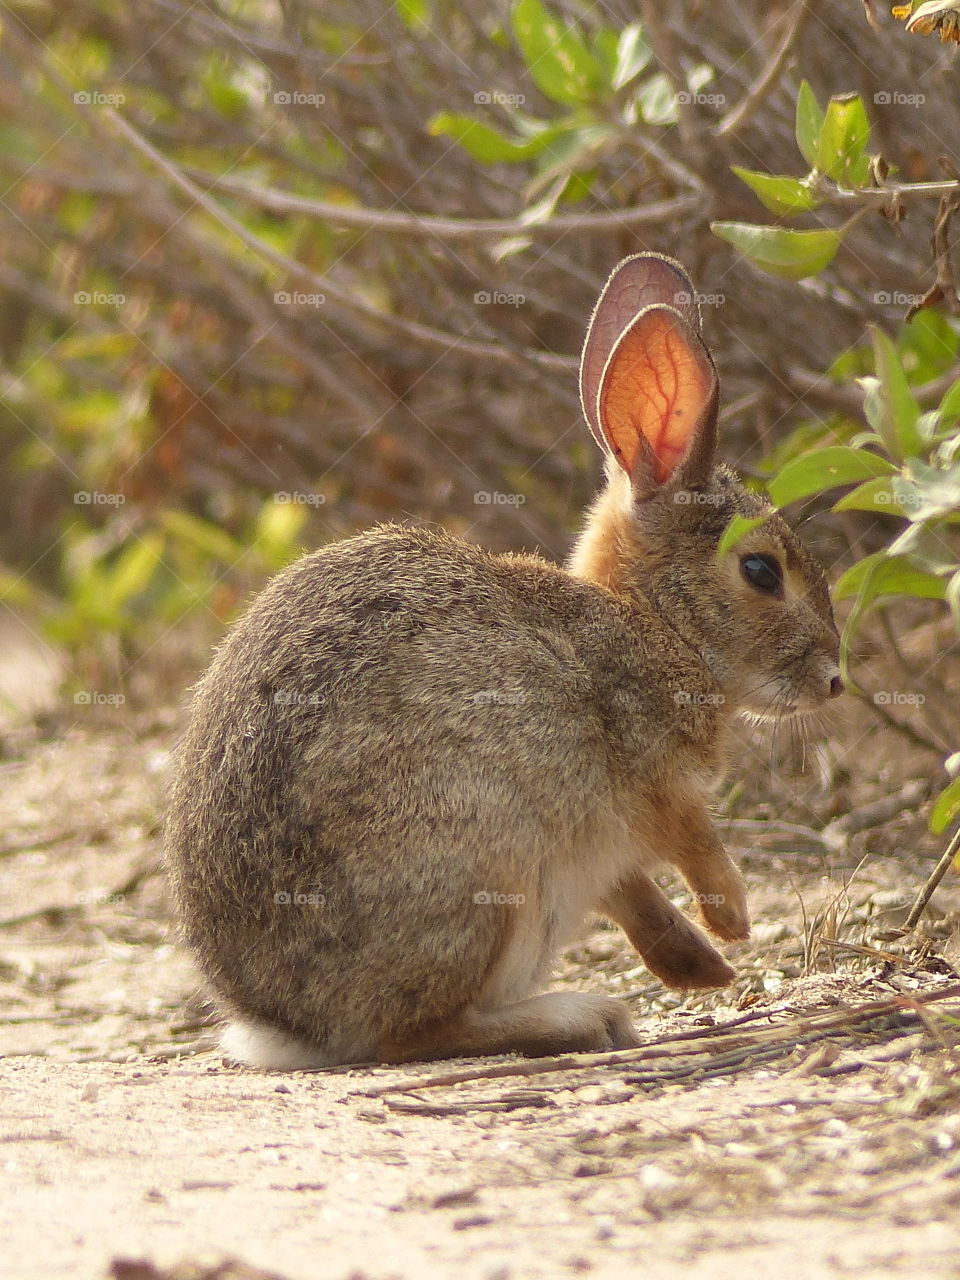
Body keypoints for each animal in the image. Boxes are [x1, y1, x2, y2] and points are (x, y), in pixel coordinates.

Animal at [168, 252, 844, 1070]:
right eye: (761, 572)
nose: (836, 679)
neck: (654, 623)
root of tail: (287, 1024)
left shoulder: (603, 845)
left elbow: (633, 891)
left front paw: (703, 965)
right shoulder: (652, 782)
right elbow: (695, 844)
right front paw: (735, 923)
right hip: (489, 868)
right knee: (412, 1032)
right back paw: (579, 1018)